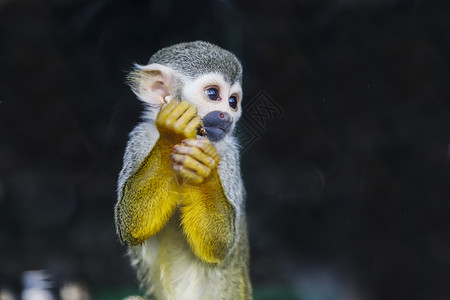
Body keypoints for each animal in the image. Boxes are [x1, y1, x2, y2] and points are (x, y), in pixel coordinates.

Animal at [114, 40, 251, 300]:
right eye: (213, 94)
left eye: (233, 102)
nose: (227, 116)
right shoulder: (141, 135)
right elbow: (131, 222)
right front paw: (172, 133)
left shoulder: (229, 151)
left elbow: (220, 244)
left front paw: (203, 171)